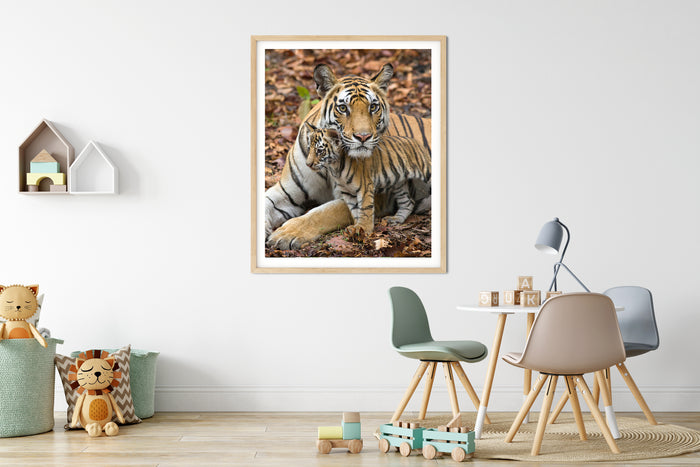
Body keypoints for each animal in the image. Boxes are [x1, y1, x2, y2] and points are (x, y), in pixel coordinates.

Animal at [265, 63, 432, 250]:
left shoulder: (376, 194)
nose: (363, 137)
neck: (328, 163)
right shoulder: (286, 192)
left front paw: (287, 234)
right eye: (343, 108)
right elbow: (265, 202)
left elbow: (325, 212)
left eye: (373, 107)